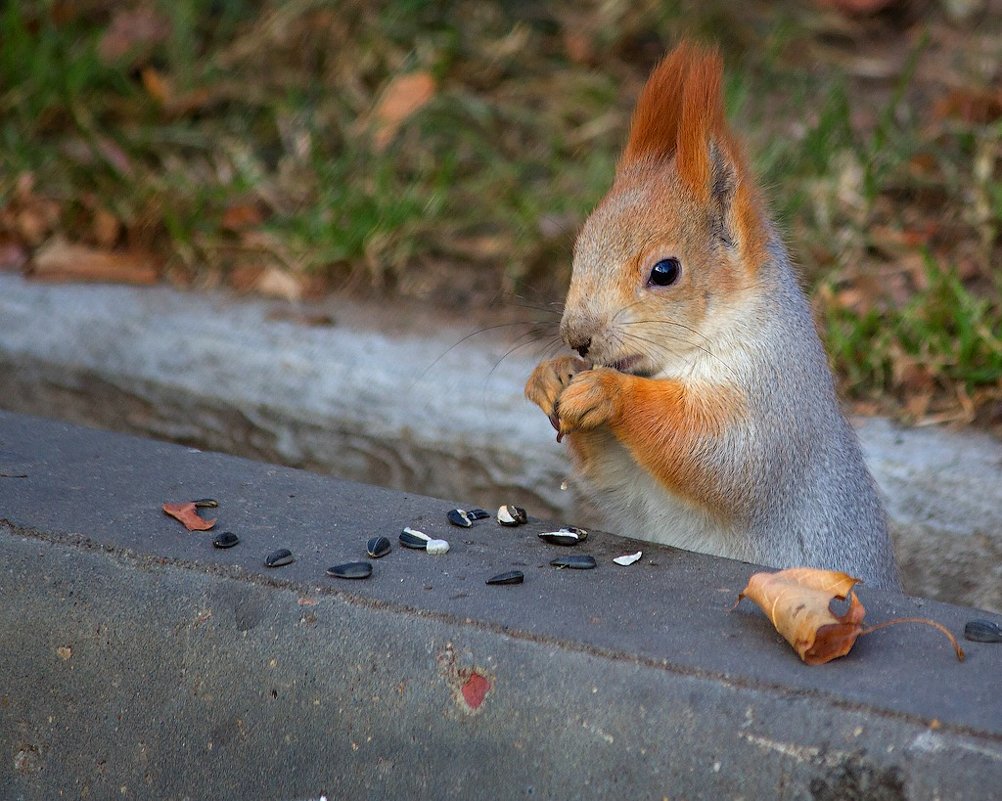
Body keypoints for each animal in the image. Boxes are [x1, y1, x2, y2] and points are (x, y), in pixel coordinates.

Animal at [525, 40, 901, 589]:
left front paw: (608, 392)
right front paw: (550, 376)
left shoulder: (771, 394)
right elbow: (614, 479)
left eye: (665, 271)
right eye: (579, 248)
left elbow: (717, 455)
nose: (577, 337)